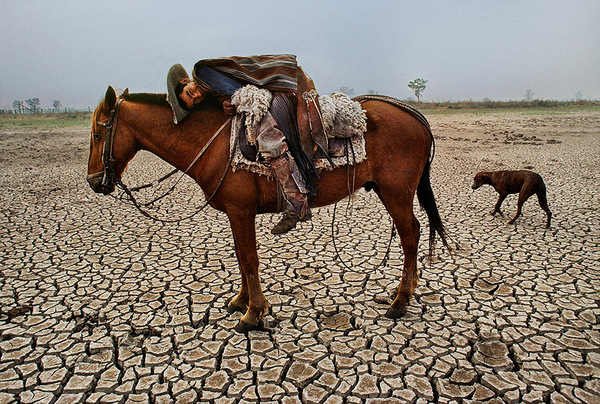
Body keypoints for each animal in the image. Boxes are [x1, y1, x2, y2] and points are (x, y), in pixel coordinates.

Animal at [86, 85, 448, 332]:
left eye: (97, 133)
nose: (93, 182)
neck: (214, 142)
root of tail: (414, 116)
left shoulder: (240, 211)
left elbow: (248, 259)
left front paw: (253, 313)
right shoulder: (237, 214)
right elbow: (240, 257)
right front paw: (241, 301)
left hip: (396, 193)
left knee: (410, 235)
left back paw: (400, 302)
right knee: (413, 233)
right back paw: (404, 292)